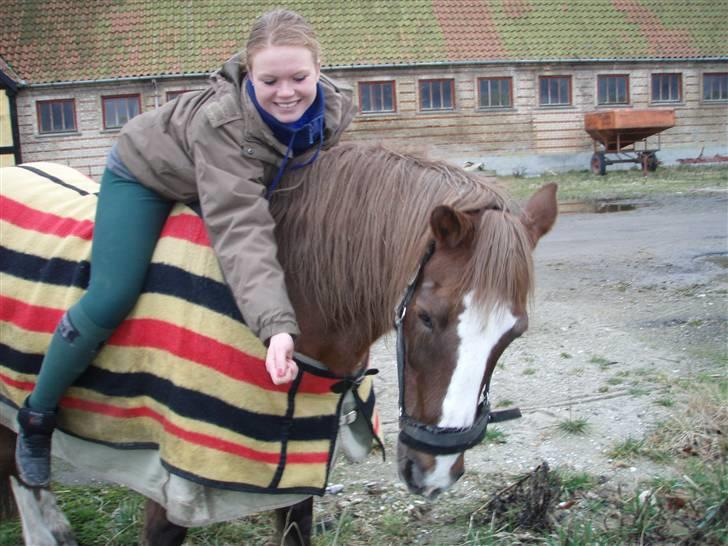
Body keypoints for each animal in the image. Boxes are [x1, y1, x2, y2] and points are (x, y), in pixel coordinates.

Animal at [0, 144, 556, 544]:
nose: (436, 472)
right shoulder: (167, 481)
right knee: (21, 466)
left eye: (513, 334)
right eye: (424, 317)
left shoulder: (293, 480)